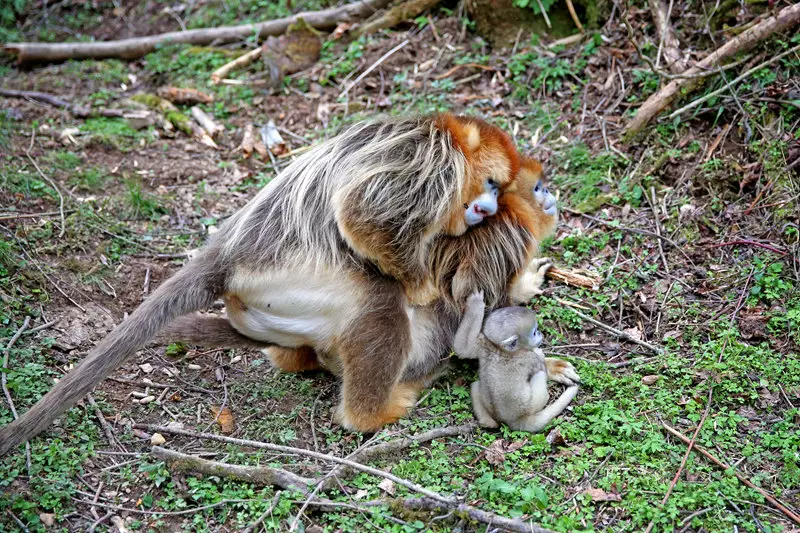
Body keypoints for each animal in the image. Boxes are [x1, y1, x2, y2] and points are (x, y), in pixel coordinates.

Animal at [1, 112, 536, 454]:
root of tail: (226, 252)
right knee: (378, 303)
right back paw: (371, 412)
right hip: (286, 279)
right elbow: (362, 215)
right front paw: (421, 284)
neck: (443, 137)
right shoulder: (428, 160)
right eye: (492, 185)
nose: (487, 209)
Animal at [454, 290, 580, 432]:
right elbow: (539, 363)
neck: (501, 349)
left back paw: (488, 423)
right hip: (532, 404)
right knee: (540, 375)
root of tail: (513, 421)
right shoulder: (529, 357)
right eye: (534, 332)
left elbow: (462, 348)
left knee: (476, 387)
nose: (540, 333)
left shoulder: (483, 343)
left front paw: (475, 304)